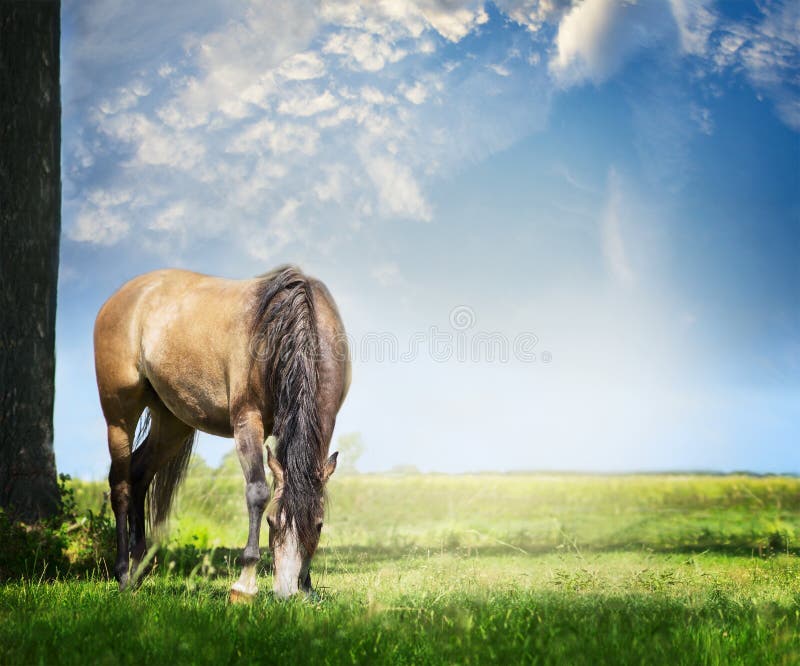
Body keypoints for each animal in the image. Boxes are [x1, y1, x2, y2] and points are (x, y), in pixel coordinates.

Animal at [94, 264, 350, 596]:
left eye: (318, 525)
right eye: (271, 522)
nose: (285, 591)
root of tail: (120, 297)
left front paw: (307, 588)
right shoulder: (247, 420)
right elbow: (257, 491)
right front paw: (245, 584)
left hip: (172, 422)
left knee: (139, 474)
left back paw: (138, 569)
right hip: (119, 415)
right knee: (121, 485)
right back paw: (124, 573)